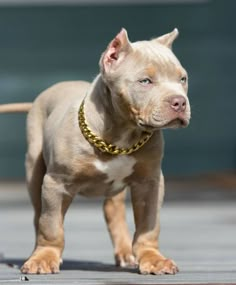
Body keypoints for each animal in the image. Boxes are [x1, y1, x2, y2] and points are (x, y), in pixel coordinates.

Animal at [0, 28, 190, 272]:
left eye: (182, 79)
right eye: (145, 81)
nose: (180, 102)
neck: (120, 136)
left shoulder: (150, 182)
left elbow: (148, 225)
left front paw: (152, 259)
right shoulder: (56, 183)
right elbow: (51, 224)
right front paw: (44, 258)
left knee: (113, 210)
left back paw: (125, 253)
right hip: (34, 169)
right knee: (38, 214)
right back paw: (38, 252)